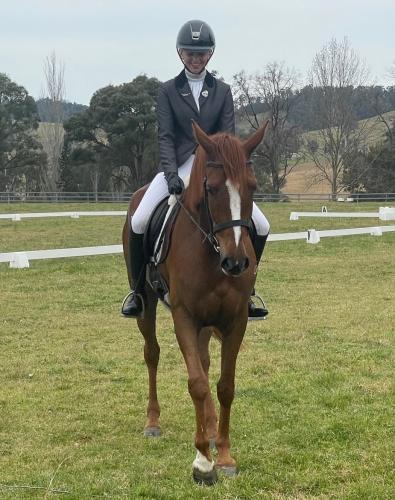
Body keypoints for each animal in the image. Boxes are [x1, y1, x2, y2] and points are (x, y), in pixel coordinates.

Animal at [123, 119, 270, 482]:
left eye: (253, 186)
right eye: (212, 188)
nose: (236, 262)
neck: (212, 251)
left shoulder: (235, 320)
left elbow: (224, 385)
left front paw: (225, 455)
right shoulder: (185, 317)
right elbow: (197, 384)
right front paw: (203, 461)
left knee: (203, 363)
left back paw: (212, 428)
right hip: (147, 306)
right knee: (152, 354)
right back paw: (153, 422)